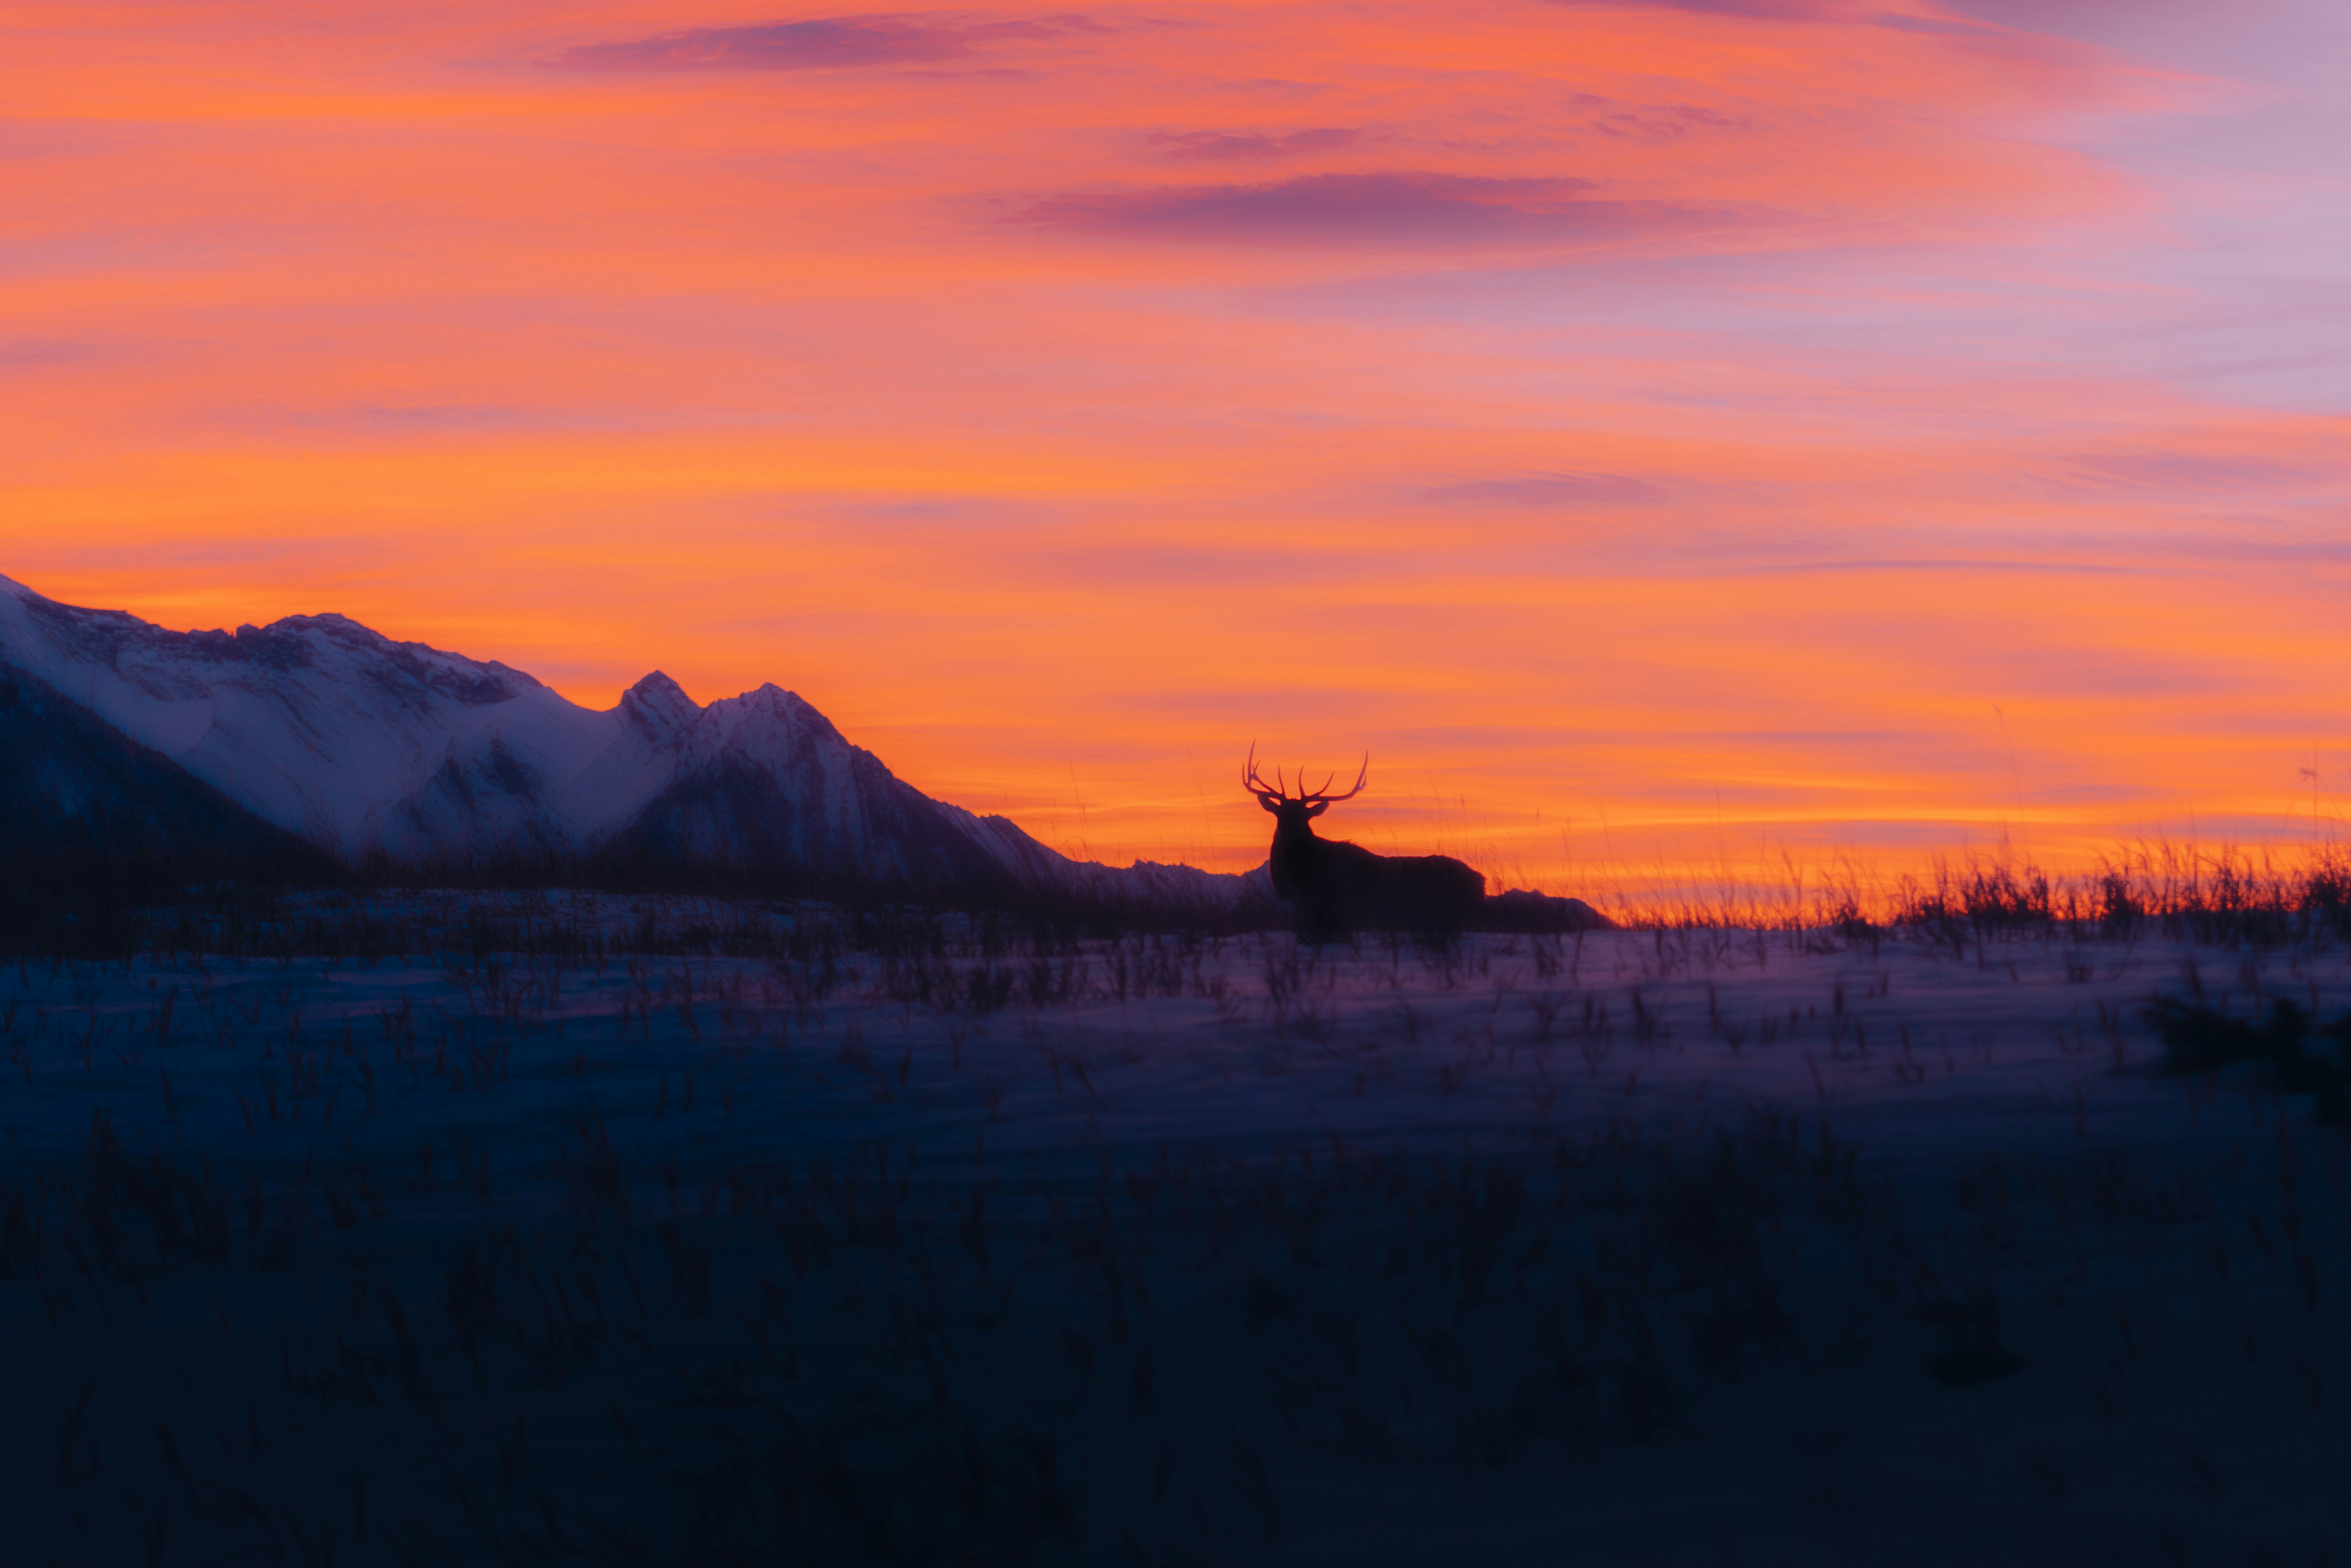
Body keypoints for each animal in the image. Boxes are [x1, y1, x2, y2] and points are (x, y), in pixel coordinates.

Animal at [1244, 746, 1486, 940]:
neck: (1299, 878)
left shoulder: (1334, 904)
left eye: (1305, 816)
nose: (1288, 831)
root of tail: (1481, 880)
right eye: (1280, 814)